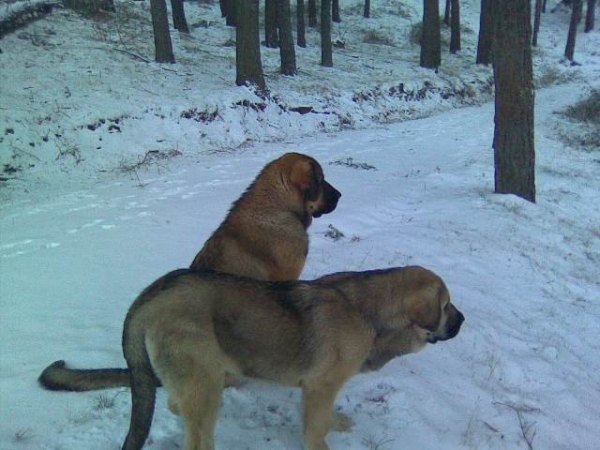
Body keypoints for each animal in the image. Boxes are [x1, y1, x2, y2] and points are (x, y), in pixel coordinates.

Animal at [118, 266, 464, 450]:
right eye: (446, 306)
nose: (463, 321)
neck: (369, 313)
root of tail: (148, 300)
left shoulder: (319, 389)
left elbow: (323, 418)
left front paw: (336, 422)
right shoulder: (320, 386)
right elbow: (315, 427)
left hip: (197, 380)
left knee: (177, 404)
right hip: (205, 382)